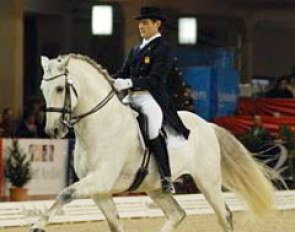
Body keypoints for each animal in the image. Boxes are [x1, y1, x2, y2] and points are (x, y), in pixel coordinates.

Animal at [32, 53, 278, 231]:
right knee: (178, 214)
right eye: (43, 89)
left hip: (208, 182)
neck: (101, 123)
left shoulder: (100, 180)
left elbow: (65, 193)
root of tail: (208, 125)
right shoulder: (99, 192)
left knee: (224, 216)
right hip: (156, 187)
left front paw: (37, 225)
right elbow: (115, 225)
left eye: (60, 88)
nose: (53, 130)